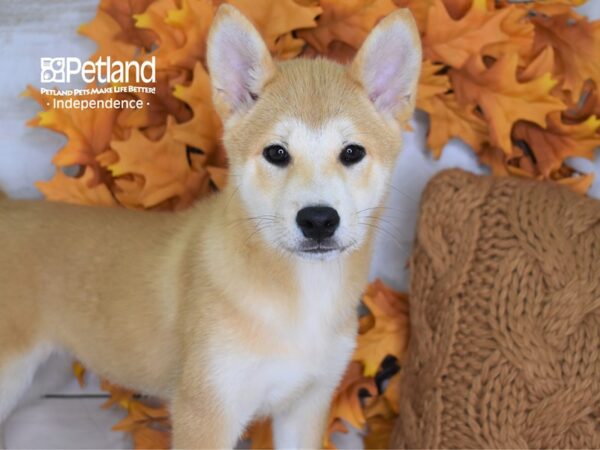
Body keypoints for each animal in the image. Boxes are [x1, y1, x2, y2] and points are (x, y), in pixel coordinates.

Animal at [0, 5, 422, 448]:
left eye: (352, 152)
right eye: (276, 153)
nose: (318, 220)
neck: (299, 299)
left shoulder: (305, 407)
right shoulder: (206, 411)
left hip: (41, 372)